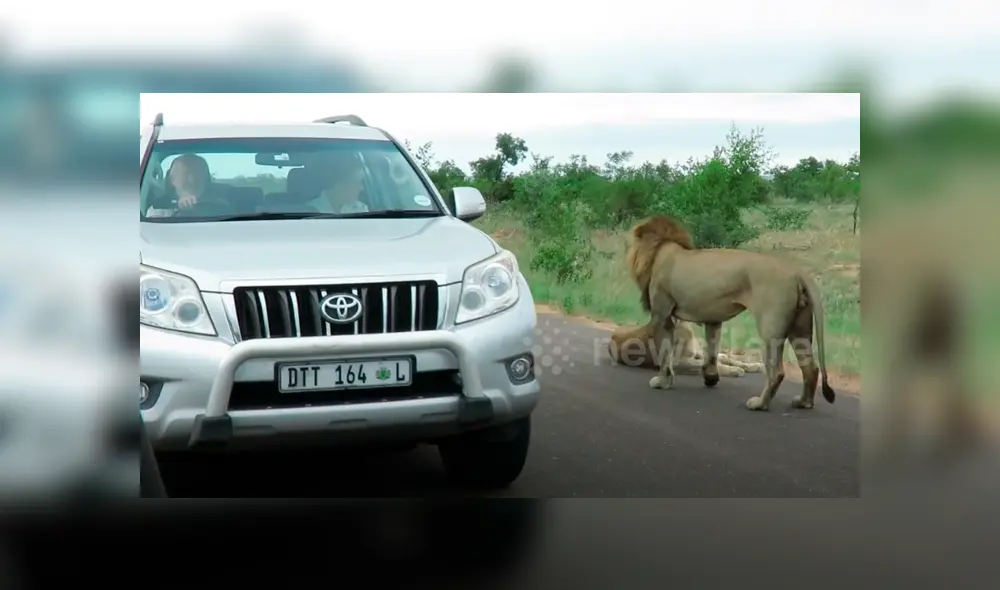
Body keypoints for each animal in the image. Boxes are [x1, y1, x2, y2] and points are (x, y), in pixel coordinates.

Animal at [608, 319, 764, 377]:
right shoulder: (677, 363)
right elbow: (708, 365)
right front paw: (735, 370)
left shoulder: (698, 353)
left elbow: (723, 359)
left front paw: (753, 366)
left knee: (725, 356)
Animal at [625, 215, 836, 411]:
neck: (662, 251)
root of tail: (797, 271)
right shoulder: (713, 318)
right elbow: (711, 350)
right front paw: (711, 378)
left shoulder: (662, 315)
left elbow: (664, 354)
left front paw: (662, 382)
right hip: (800, 327)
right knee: (810, 367)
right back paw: (803, 402)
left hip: (770, 328)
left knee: (777, 371)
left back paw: (759, 404)